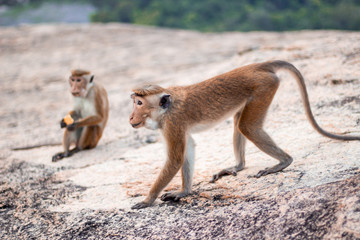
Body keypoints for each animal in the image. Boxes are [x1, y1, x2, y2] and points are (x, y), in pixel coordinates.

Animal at [128, 60, 358, 208]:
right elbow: (188, 149)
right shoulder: (177, 127)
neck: (166, 109)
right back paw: (238, 166)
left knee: (247, 126)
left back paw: (283, 162)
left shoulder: (172, 124)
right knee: (239, 123)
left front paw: (148, 200)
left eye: (139, 103)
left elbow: (175, 158)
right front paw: (183, 192)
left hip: (264, 87)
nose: (130, 117)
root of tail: (257, 65)